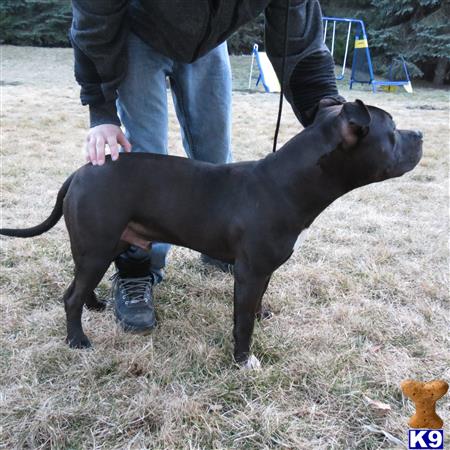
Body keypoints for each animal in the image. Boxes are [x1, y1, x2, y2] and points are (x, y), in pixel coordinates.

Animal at [0, 100, 422, 368]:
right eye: (392, 131)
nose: (419, 133)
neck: (287, 183)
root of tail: (81, 171)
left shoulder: (261, 271)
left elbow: (254, 305)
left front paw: (261, 315)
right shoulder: (249, 271)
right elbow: (242, 322)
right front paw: (243, 361)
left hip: (100, 246)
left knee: (80, 286)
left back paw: (95, 306)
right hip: (97, 246)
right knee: (70, 296)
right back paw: (77, 341)